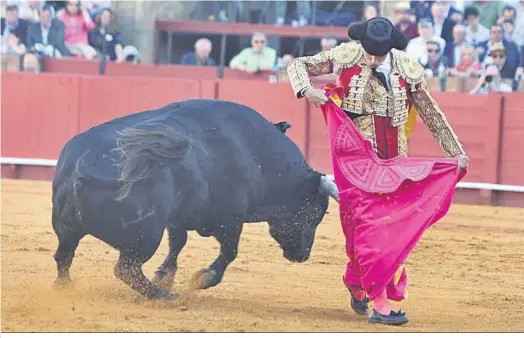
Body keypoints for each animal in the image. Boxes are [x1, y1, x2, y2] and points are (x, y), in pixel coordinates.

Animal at [52, 98, 340, 302]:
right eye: (315, 214)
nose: (302, 255)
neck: (257, 154)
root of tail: (84, 163)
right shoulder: (231, 220)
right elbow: (229, 252)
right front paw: (200, 279)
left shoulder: (179, 218)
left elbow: (177, 244)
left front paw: (164, 275)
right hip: (145, 236)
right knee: (126, 268)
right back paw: (165, 297)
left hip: (68, 229)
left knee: (64, 257)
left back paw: (66, 287)